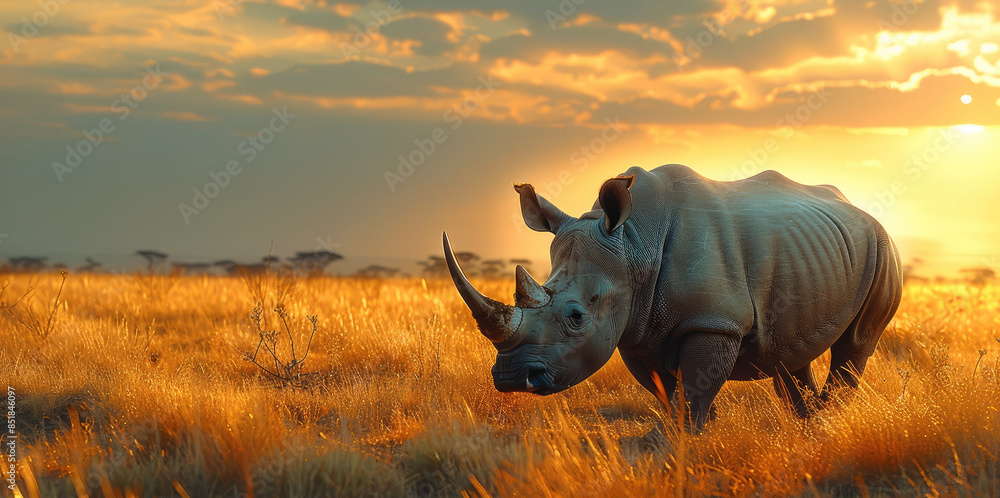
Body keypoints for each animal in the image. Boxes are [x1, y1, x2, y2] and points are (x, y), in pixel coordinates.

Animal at [443, 164, 902, 428]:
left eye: (576, 316)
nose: (510, 378)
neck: (632, 244)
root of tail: (858, 208)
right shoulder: (636, 331)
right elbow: (668, 392)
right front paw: (695, 431)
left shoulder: (714, 322)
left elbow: (695, 389)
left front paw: (688, 438)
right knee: (791, 352)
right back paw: (808, 425)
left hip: (882, 246)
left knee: (857, 341)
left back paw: (828, 419)